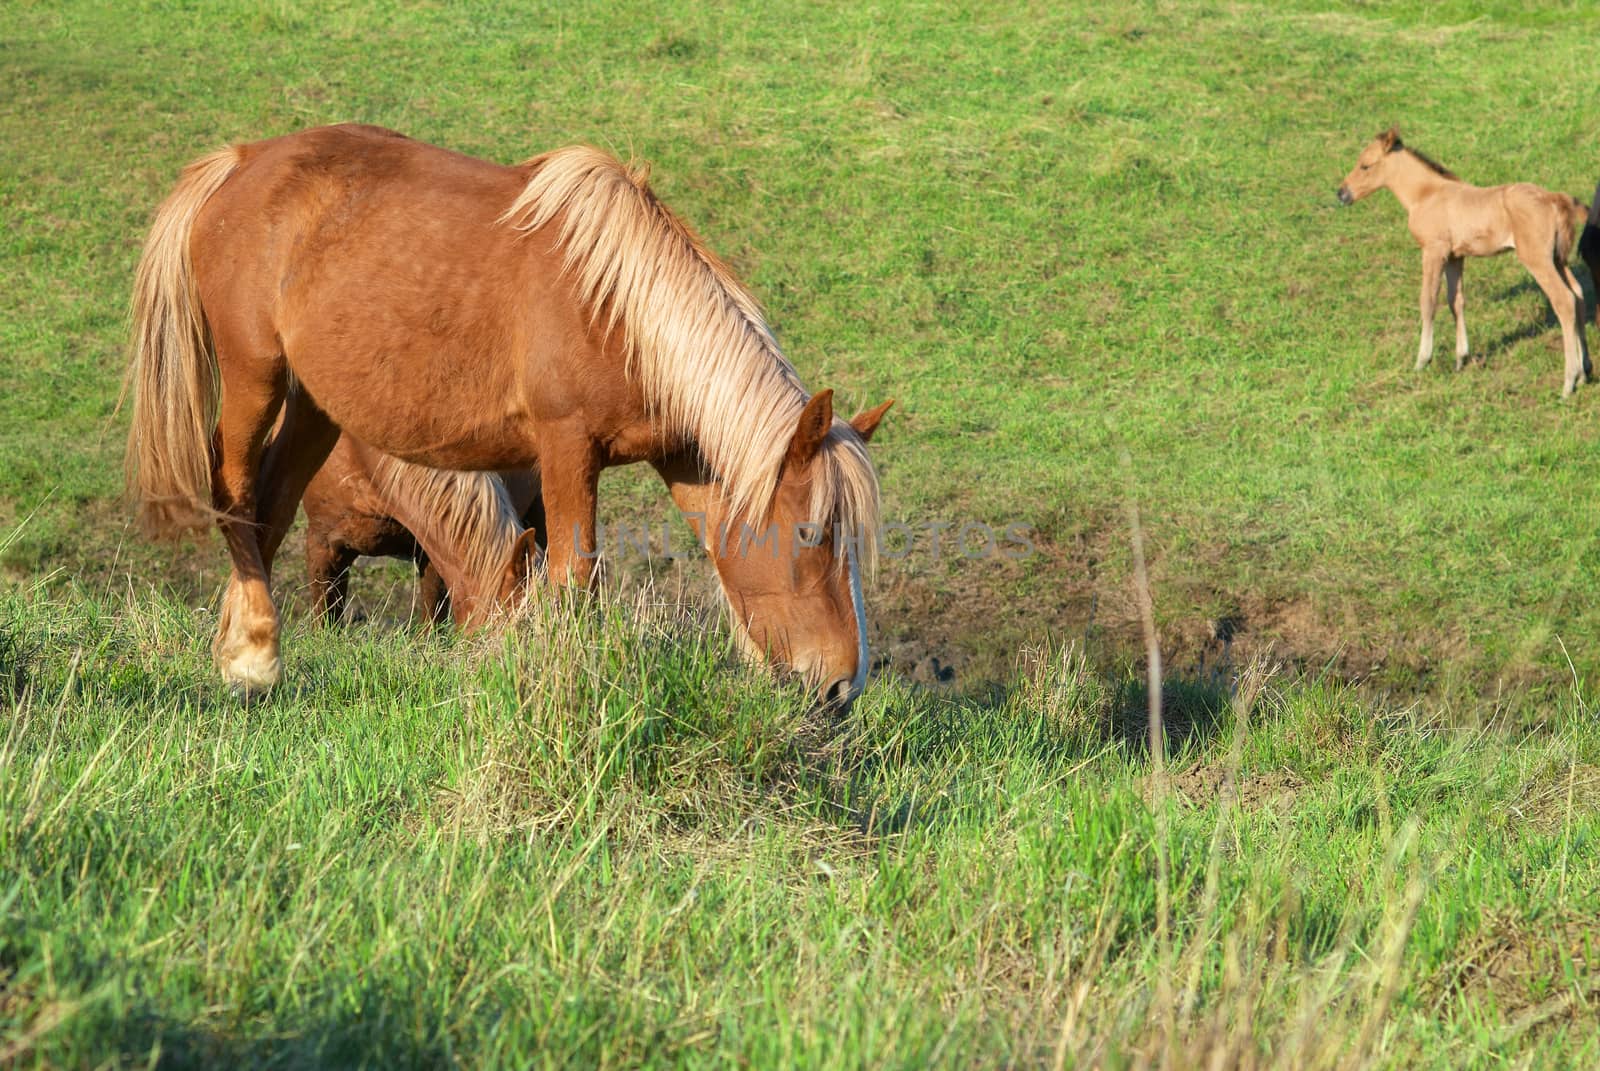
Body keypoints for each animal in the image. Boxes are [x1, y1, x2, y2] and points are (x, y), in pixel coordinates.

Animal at [1337, 125, 1587, 392]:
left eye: (1365, 165)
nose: (1341, 193)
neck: (1425, 194)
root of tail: (1554, 198)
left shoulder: (1433, 251)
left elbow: (1428, 302)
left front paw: (1422, 360)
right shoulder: (1455, 257)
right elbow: (1455, 301)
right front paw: (1461, 359)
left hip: (1537, 259)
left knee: (1564, 300)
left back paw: (1569, 382)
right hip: (1558, 259)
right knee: (1578, 294)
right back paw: (1585, 372)